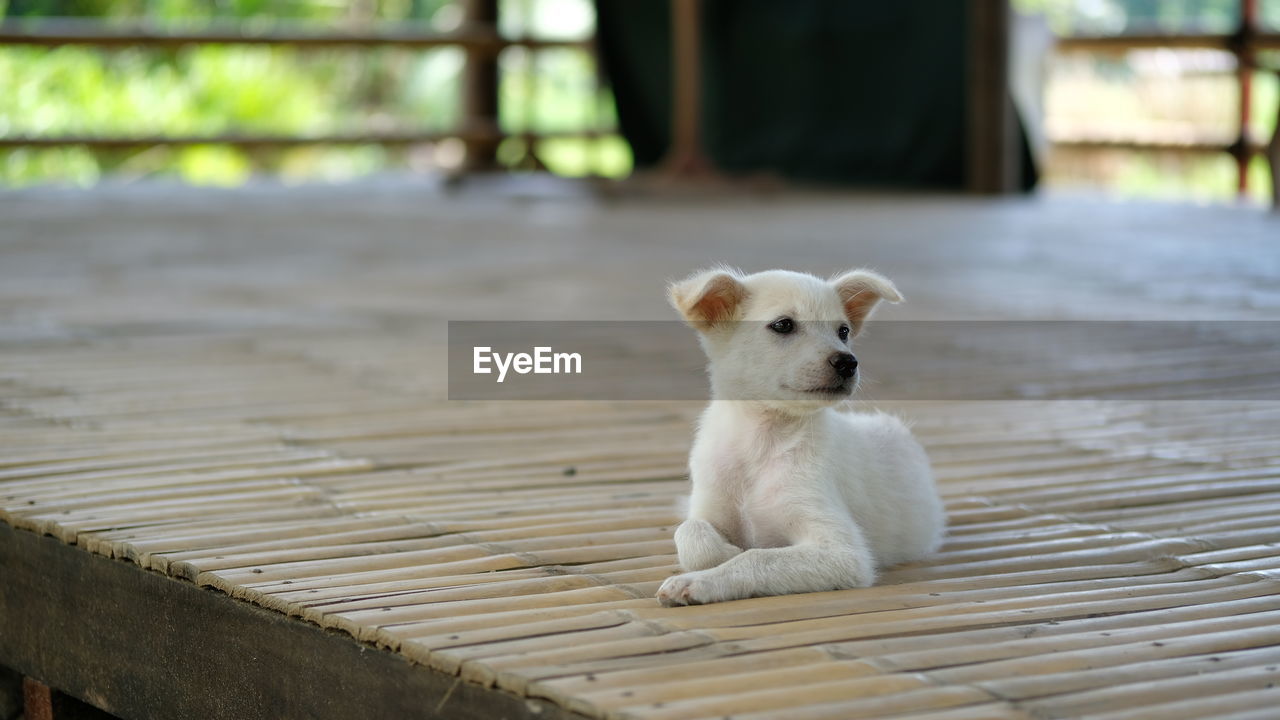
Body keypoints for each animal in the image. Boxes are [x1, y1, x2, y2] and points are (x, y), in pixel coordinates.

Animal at [655, 266, 947, 602]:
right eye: (783, 325)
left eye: (843, 331)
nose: (848, 362)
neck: (761, 441)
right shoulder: (708, 508)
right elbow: (689, 533)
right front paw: (722, 552)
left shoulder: (842, 552)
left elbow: (755, 557)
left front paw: (700, 580)